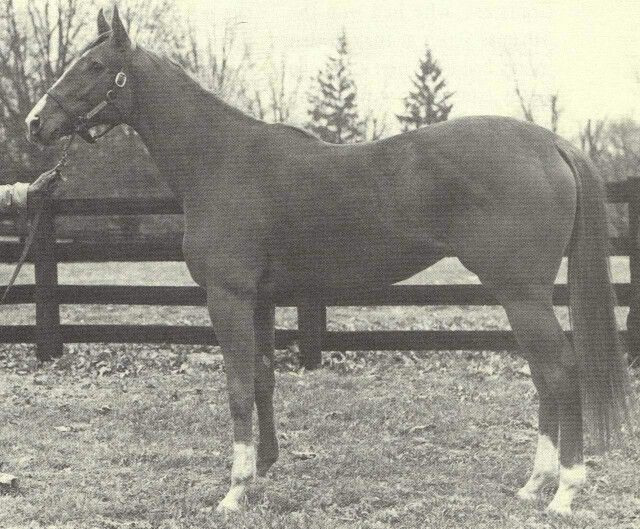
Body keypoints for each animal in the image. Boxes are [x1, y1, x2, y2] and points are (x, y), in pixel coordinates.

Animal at [26, 7, 631, 516]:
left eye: (95, 66)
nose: (34, 123)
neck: (218, 159)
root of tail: (550, 143)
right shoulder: (262, 300)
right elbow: (263, 379)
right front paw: (262, 469)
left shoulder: (228, 297)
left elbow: (237, 387)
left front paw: (235, 489)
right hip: (519, 296)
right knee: (545, 376)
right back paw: (534, 484)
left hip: (521, 293)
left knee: (560, 371)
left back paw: (564, 492)